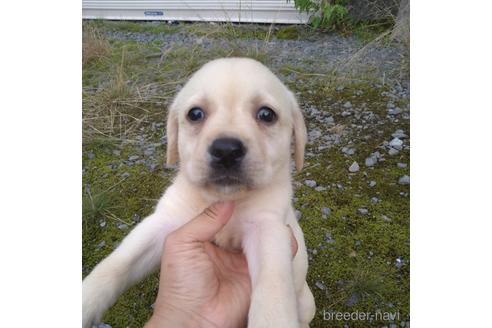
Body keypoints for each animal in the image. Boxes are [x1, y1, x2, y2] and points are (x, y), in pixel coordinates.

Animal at [82, 57, 316, 326]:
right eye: (195, 114)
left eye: (266, 114)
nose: (226, 150)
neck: (227, 197)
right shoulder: (165, 221)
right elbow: (117, 263)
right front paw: (85, 300)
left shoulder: (268, 229)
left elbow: (273, 288)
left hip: (306, 302)